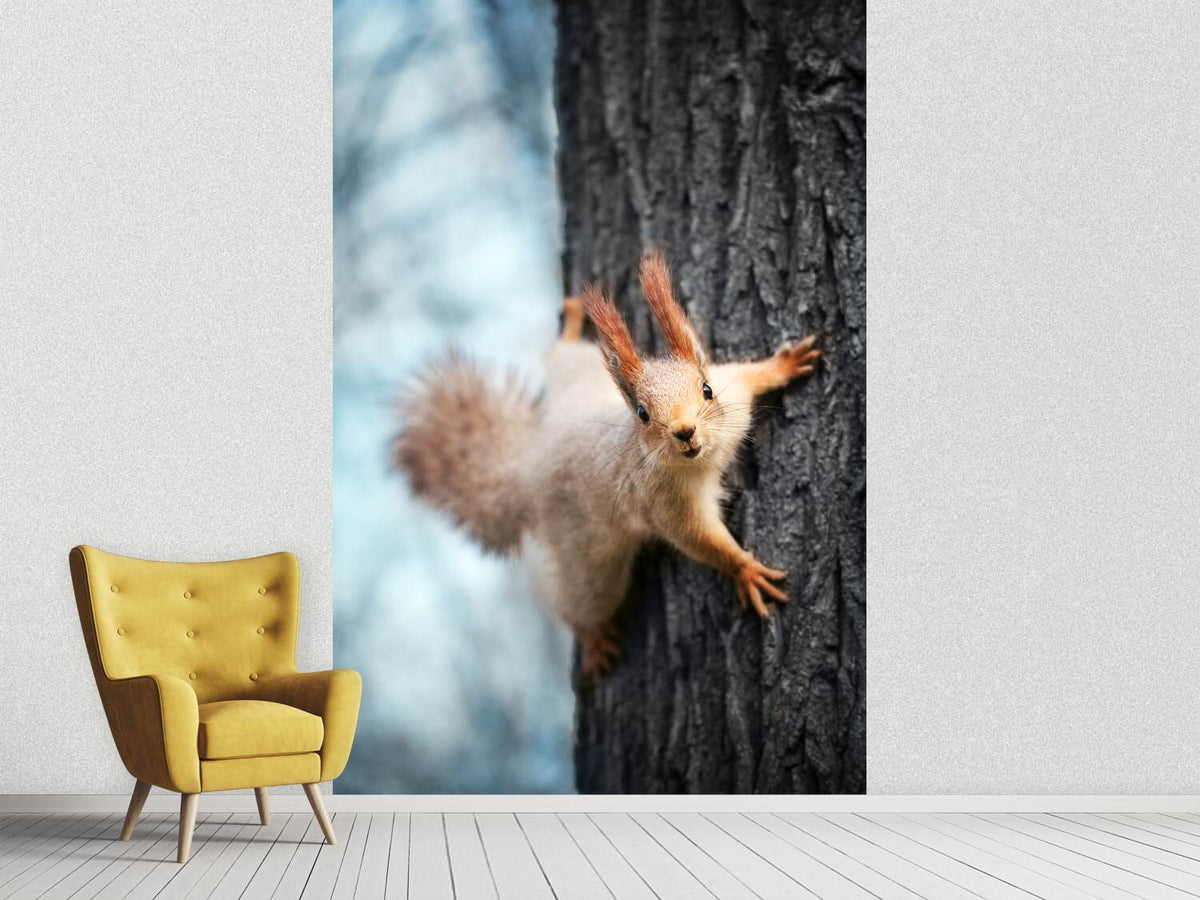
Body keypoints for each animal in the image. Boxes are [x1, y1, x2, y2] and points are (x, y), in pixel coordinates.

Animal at [395, 252, 820, 677]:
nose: (685, 431)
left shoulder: (735, 398)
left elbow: (752, 376)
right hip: (588, 563)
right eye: (643, 414)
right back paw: (592, 639)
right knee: (578, 603)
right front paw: (744, 570)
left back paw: (570, 324)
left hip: (576, 374)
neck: (704, 458)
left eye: (706, 390)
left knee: (560, 355)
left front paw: (784, 364)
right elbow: (699, 539)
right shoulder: (665, 504)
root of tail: (529, 469)